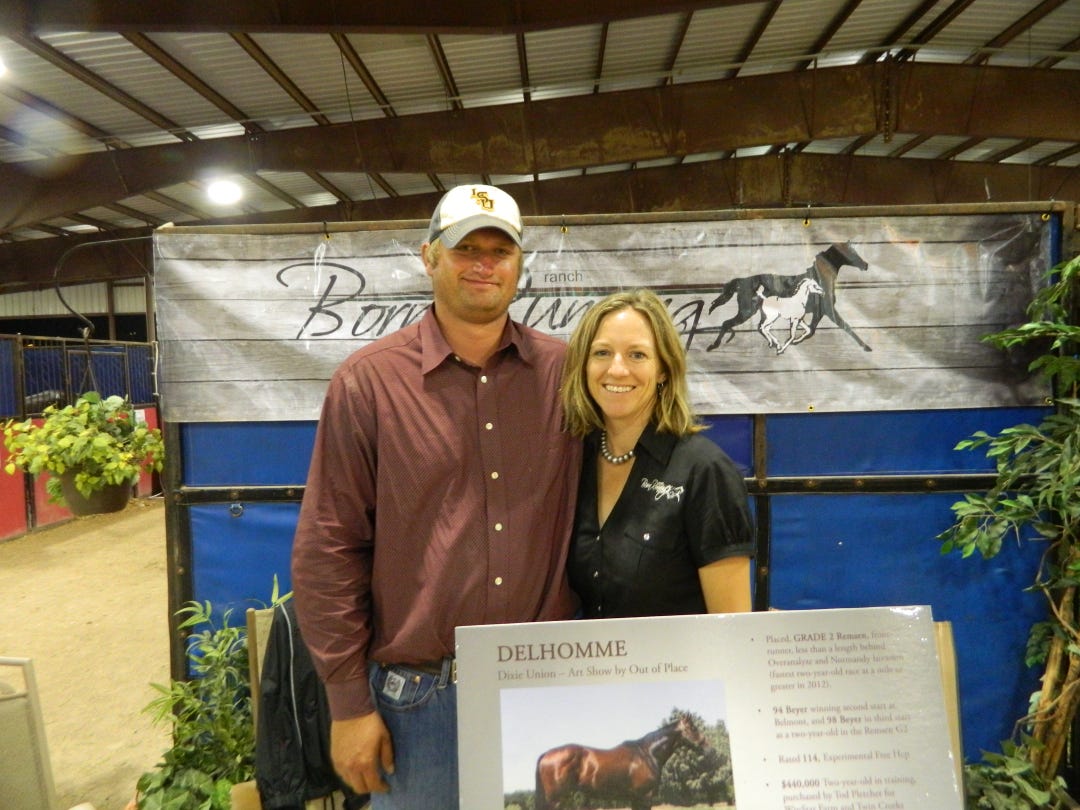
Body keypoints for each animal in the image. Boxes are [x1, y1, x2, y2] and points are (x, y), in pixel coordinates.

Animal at [534, 712, 708, 810]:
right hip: (555, 801)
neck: (647, 753)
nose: (708, 747)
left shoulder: (636, 798)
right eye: (693, 728)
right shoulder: (644, 797)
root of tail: (546, 755)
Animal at [706, 241, 872, 351]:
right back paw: (713, 346)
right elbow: (845, 327)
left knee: (760, 327)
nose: (866, 265)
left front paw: (793, 341)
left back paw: (774, 343)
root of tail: (742, 281)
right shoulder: (828, 311)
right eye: (851, 252)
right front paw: (866, 347)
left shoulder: (818, 313)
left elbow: (811, 330)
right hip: (747, 311)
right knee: (727, 323)